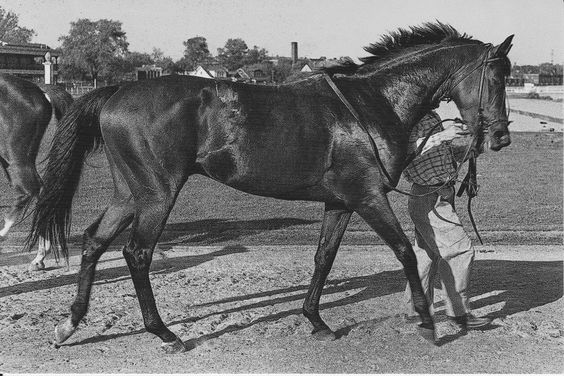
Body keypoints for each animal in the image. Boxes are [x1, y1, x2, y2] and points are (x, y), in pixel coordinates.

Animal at [28, 22, 512, 352]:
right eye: (496, 77)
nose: (501, 136)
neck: (373, 104)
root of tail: (117, 91)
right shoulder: (368, 197)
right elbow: (405, 251)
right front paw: (427, 322)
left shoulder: (341, 202)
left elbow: (323, 259)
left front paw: (315, 320)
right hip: (157, 194)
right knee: (136, 253)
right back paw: (165, 332)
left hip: (131, 193)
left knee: (94, 241)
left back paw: (70, 324)